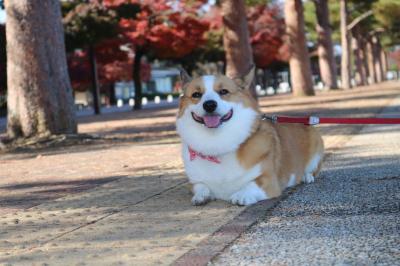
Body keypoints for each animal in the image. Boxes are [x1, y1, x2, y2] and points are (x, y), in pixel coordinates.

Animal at [176, 68, 324, 206]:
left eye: (223, 91)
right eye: (196, 95)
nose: (209, 105)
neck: (217, 145)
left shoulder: (268, 181)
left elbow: (251, 185)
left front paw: (242, 195)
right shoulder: (194, 182)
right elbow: (200, 186)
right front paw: (201, 196)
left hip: (317, 150)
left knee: (312, 170)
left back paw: (306, 176)